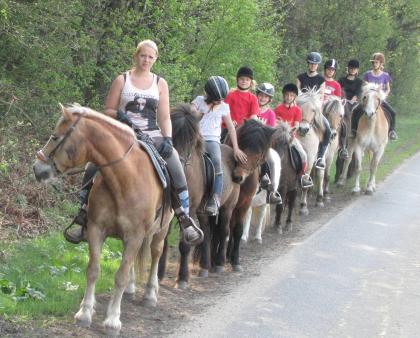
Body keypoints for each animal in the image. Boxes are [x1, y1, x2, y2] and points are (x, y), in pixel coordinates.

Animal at [31, 105, 172, 336]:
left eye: (55, 137)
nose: (37, 168)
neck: (124, 179)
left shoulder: (135, 236)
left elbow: (120, 276)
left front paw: (113, 320)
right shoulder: (96, 230)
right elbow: (93, 270)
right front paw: (85, 313)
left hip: (161, 229)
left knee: (156, 253)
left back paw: (150, 294)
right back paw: (132, 289)